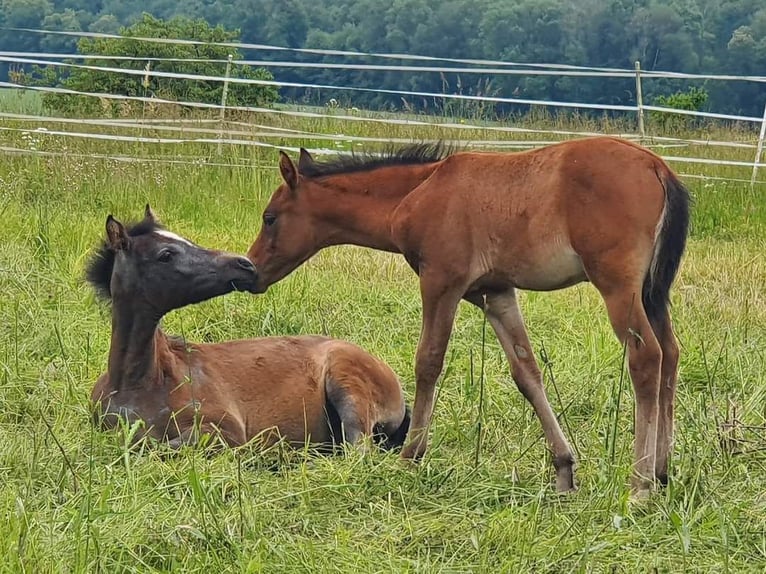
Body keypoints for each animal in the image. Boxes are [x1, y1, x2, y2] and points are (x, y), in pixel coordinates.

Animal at [87, 207, 412, 454]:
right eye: (166, 254)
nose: (244, 265)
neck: (138, 383)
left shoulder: (227, 429)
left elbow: (158, 446)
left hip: (348, 387)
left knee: (358, 449)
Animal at [249, 137, 692, 498]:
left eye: (270, 217)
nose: (250, 272)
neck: (419, 191)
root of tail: (659, 167)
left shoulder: (442, 281)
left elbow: (428, 362)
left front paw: (410, 456)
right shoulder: (494, 293)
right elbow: (526, 372)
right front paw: (564, 470)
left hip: (618, 287)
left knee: (646, 358)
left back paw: (640, 485)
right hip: (652, 294)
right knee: (670, 354)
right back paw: (663, 471)